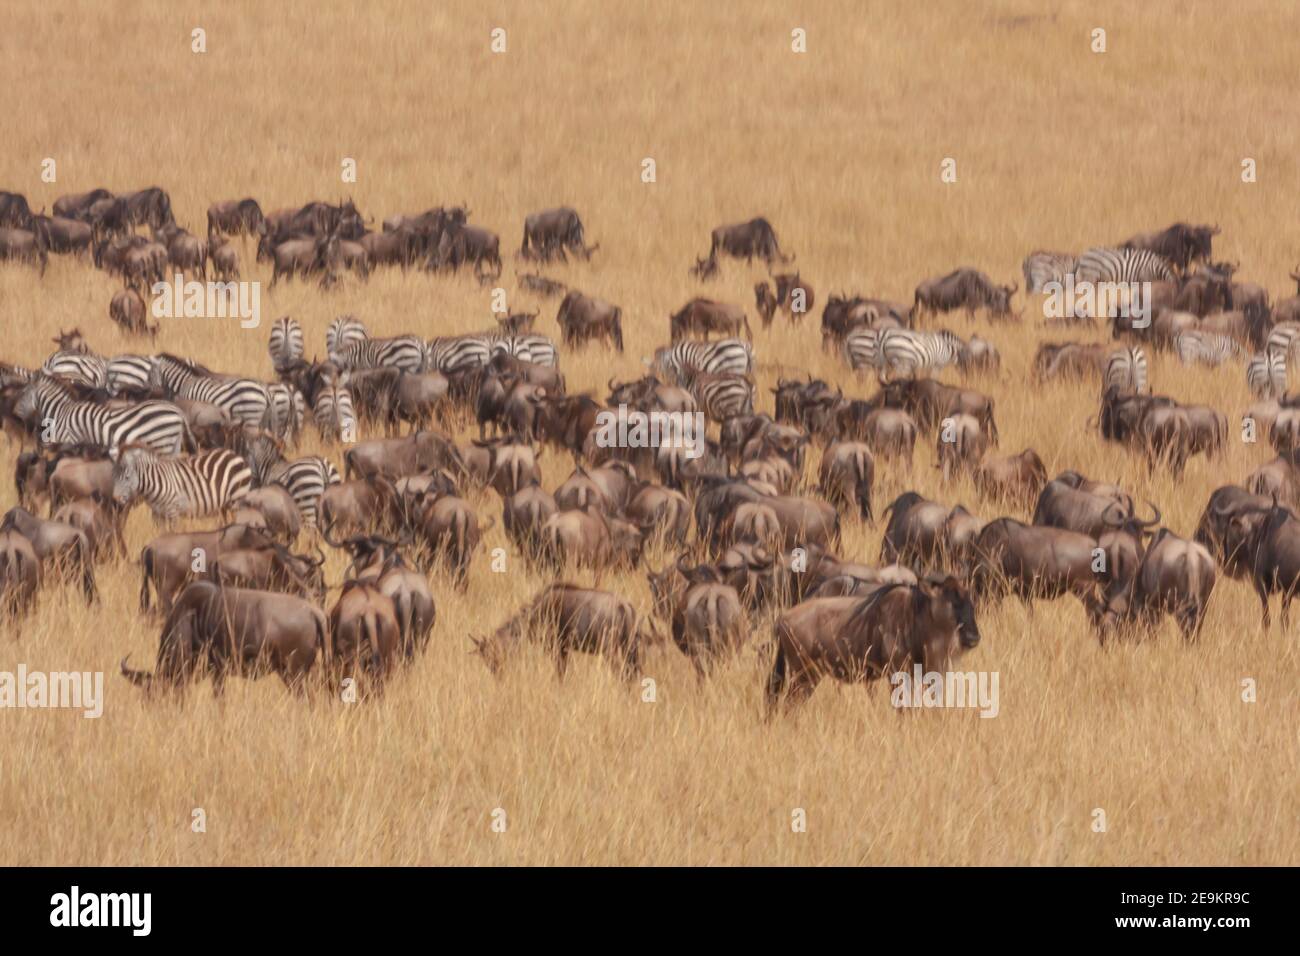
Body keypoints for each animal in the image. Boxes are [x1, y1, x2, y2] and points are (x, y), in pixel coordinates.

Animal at [15, 374, 190, 455]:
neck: (60, 413)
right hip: (173, 444)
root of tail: (177, 411)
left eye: (23, 393)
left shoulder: (68, 440)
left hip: (162, 443)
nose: (15, 412)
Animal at [111, 445, 252, 520]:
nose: (115, 500)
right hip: (223, 506)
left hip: (235, 501)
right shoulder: (158, 515)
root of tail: (235, 454)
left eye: (127, 477)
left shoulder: (173, 512)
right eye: (113, 476)